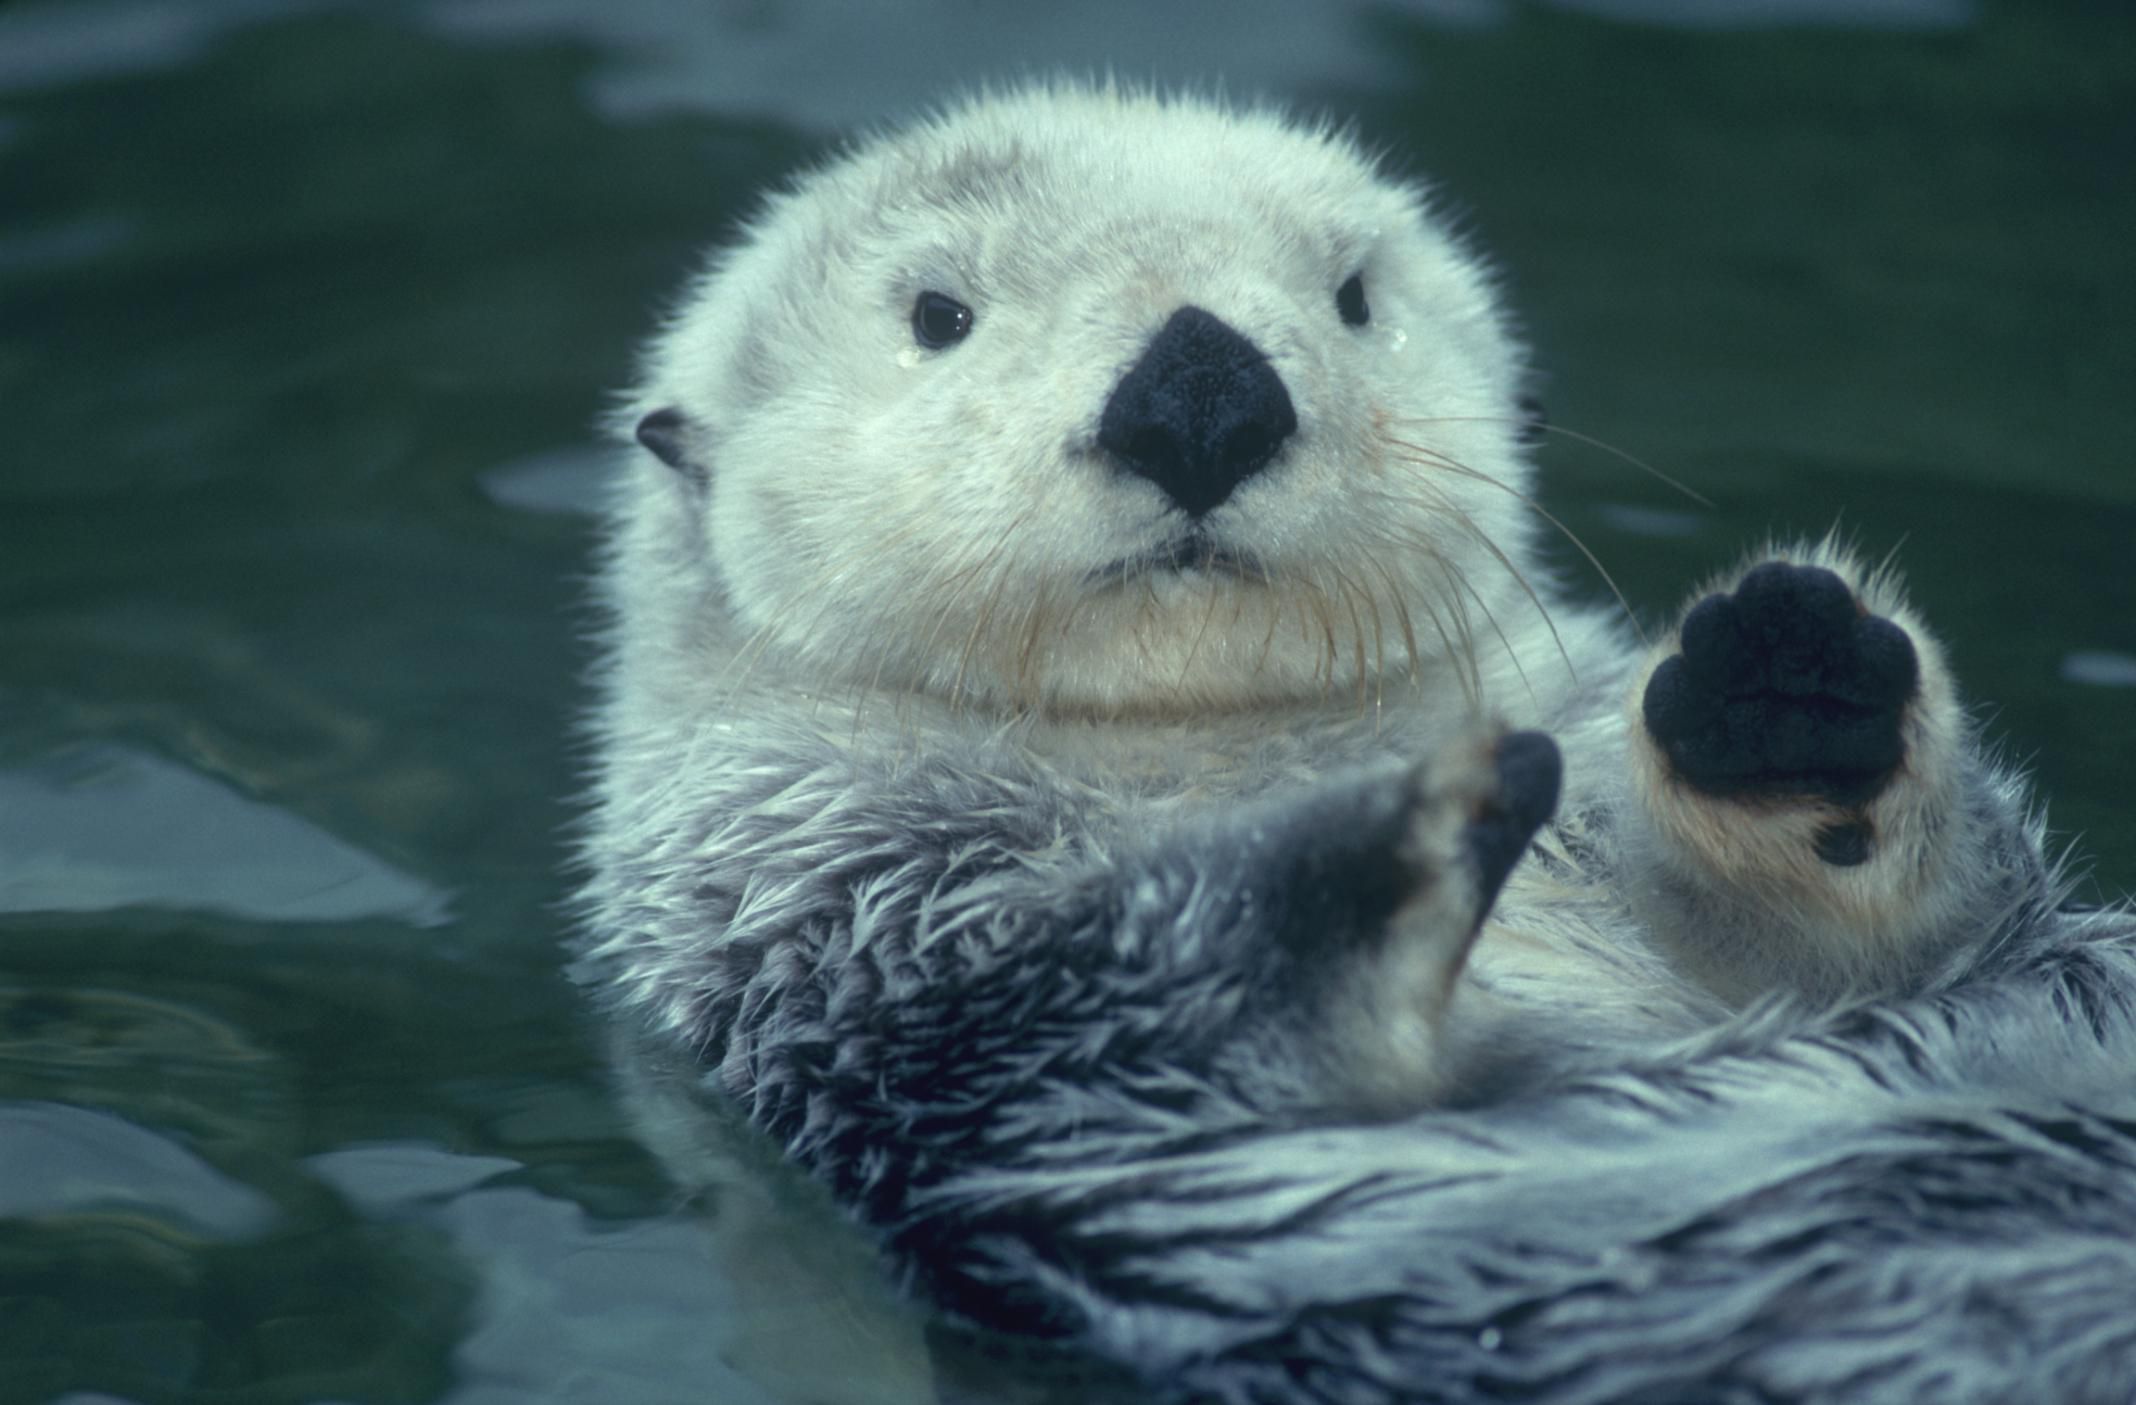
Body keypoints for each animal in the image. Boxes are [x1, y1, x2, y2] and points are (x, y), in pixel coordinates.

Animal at [568, 84, 2136, 1400]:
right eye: (939, 312)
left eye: (1354, 295)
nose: (1200, 392)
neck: (1210, 761)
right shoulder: (855, 948)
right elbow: (1120, 1000)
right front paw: (1404, 827)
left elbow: (1918, 935)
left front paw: (1786, 676)